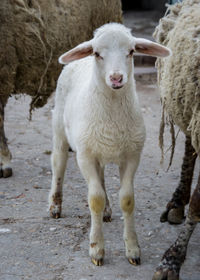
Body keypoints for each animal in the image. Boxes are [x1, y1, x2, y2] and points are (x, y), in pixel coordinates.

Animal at [48, 23, 170, 266]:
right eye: (97, 53)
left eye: (131, 51)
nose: (116, 78)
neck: (112, 114)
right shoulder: (85, 156)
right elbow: (94, 199)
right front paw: (96, 249)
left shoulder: (132, 155)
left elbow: (127, 199)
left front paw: (133, 249)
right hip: (60, 130)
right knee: (58, 163)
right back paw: (55, 205)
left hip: (99, 146)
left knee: (101, 177)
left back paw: (106, 211)